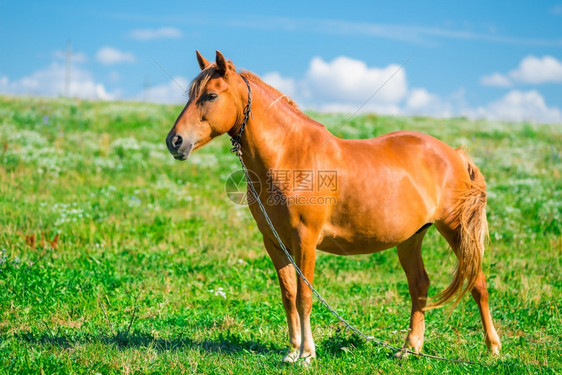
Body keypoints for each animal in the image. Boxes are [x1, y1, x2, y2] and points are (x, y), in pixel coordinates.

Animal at [165, 50, 498, 364]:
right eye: (191, 95)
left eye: (210, 95)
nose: (174, 141)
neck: (291, 156)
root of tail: (453, 154)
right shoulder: (275, 243)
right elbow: (288, 296)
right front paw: (291, 351)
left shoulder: (305, 241)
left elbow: (304, 297)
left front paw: (307, 354)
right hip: (410, 238)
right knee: (419, 286)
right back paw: (409, 349)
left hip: (455, 229)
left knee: (477, 283)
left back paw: (493, 349)